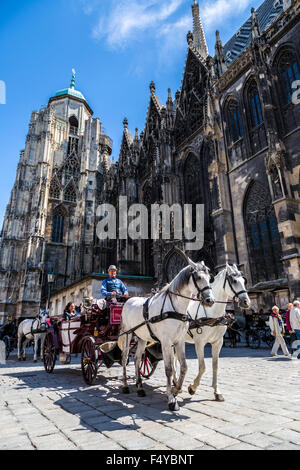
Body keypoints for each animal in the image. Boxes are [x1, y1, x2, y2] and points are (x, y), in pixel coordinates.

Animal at [118, 258, 214, 412]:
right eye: (199, 277)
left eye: (210, 278)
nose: (210, 300)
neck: (175, 308)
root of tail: (128, 300)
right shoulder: (165, 341)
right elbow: (169, 369)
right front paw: (171, 398)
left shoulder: (179, 341)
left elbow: (183, 367)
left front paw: (176, 389)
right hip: (127, 334)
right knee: (124, 358)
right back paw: (126, 385)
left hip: (142, 338)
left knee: (137, 359)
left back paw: (139, 387)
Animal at [185, 264, 251, 400]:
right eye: (234, 281)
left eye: (244, 281)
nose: (246, 302)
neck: (212, 313)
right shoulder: (199, 343)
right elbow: (202, 367)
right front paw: (192, 388)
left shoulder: (218, 342)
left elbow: (215, 366)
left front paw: (217, 391)